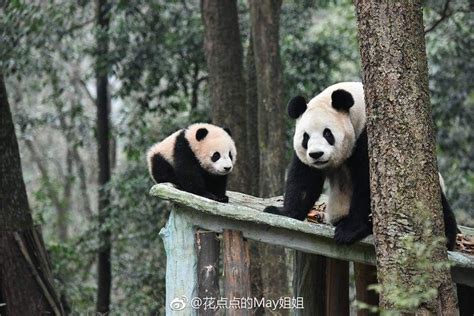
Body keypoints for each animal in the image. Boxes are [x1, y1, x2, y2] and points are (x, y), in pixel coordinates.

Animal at [264, 82, 458, 251]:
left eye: (327, 134)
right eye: (305, 137)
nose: (316, 154)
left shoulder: (367, 137)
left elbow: (368, 184)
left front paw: (349, 230)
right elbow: (304, 179)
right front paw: (282, 212)